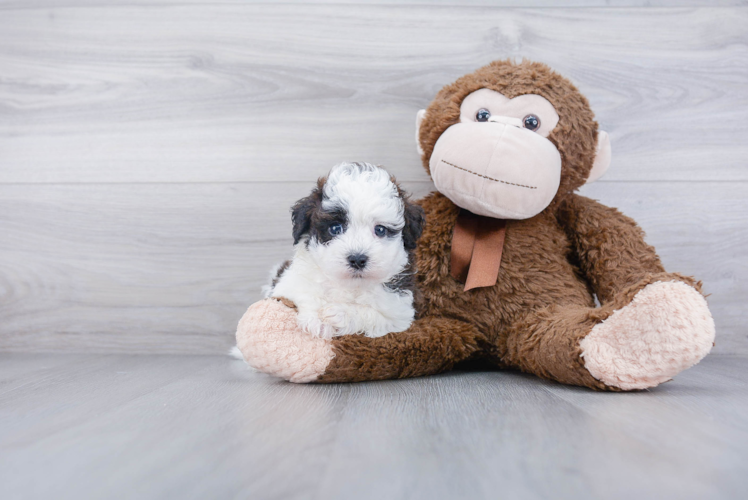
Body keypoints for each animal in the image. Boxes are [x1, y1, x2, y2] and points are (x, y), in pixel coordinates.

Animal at [266, 162, 424, 338]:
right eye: (335, 228)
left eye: (380, 230)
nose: (357, 259)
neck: (349, 285)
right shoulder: (288, 284)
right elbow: (305, 293)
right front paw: (318, 319)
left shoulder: (399, 314)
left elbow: (372, 314)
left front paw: (340, 314)